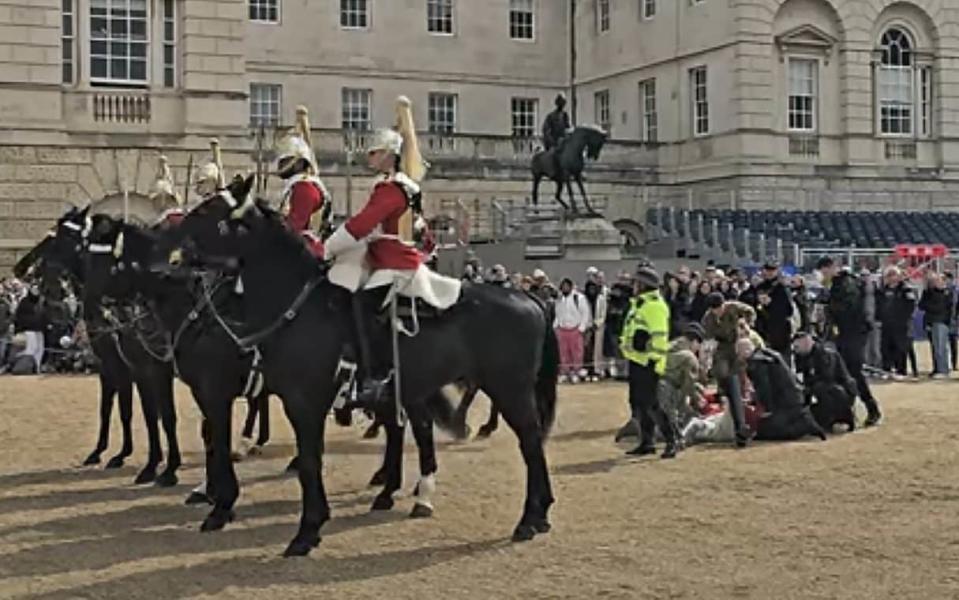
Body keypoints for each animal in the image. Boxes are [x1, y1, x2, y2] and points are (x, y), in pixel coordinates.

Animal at [164, 186, 556, 556]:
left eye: (210, 211)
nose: (169, 246)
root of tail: (526, 297)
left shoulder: (293, 400)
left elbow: (306, 461)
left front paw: (305, 530)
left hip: (508, 388)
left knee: (528, 442)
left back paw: (526, 517)